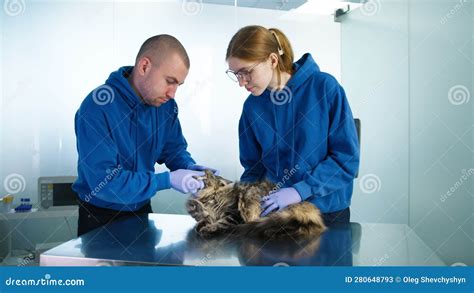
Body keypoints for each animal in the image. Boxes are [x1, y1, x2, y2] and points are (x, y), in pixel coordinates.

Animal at [185, 170, 326, 238]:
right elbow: (206, 218)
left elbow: (220, 223)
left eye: (211, 176)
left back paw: (270, 232)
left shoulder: (234, 215)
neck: (213, 197)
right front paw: (199, 223)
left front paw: (208, 229)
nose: (206, 169)